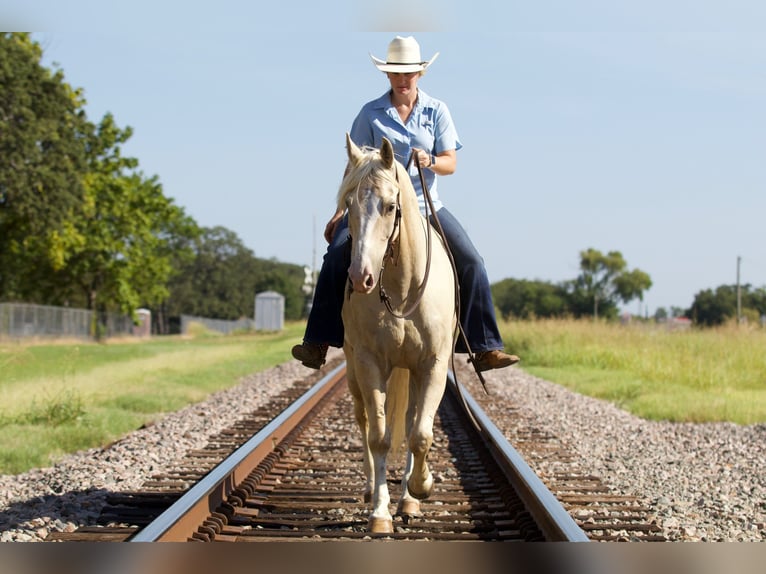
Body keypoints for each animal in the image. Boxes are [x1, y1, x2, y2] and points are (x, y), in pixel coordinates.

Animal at [340, 133, 456, 532]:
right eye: (348, 205)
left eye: (391, 206)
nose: (360, 277)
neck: (403, 288)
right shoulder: (369, 362)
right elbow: (379, 438)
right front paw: (379, 514)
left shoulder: (432, 365)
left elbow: (419, 435)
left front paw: (421, 488)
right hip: (353, 370)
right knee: (363, 420)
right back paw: (368, 489)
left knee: (410, 423)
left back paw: (408, 498)